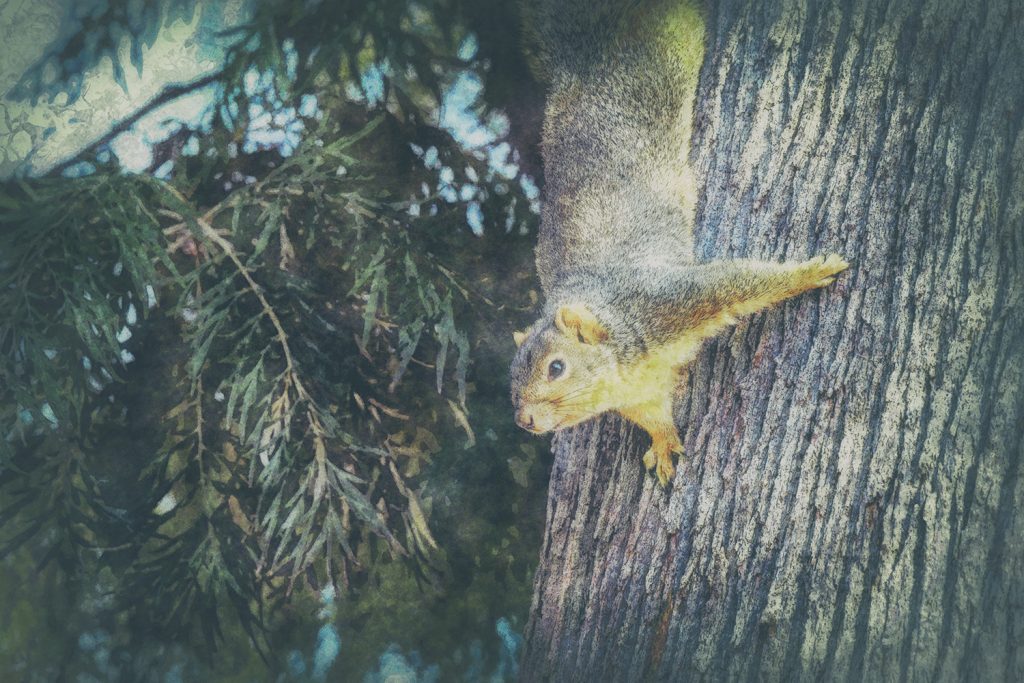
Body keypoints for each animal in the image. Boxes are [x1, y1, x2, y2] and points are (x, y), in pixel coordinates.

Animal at [507, 0, 851, 485]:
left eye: (557, 367)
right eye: (512, 378)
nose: (525, 421)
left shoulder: (667, 300)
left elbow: (736, 282)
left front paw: (810, 271)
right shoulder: (638, 394)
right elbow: (654, 415)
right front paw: (663, 442)